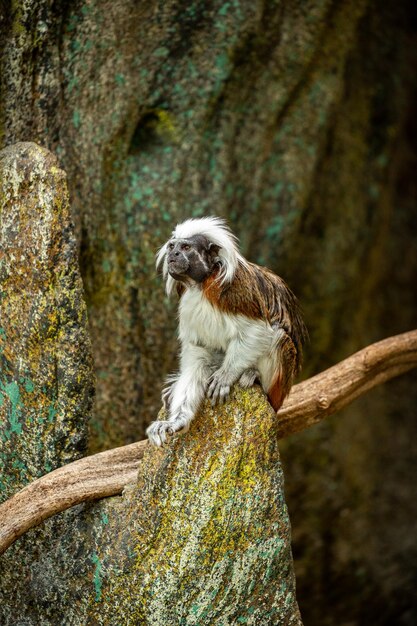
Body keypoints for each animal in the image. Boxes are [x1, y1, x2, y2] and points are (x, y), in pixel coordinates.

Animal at [146, 217, 306, 446]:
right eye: (171, 247)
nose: (173, 255)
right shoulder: (187, 301)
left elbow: (259, 330)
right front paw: (177, 420)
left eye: (185, 248)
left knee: (279, 338)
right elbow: (199, 351)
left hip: (279, 388)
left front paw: (226, 375)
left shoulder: (234, 292)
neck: (200, 284)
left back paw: (254, 376)